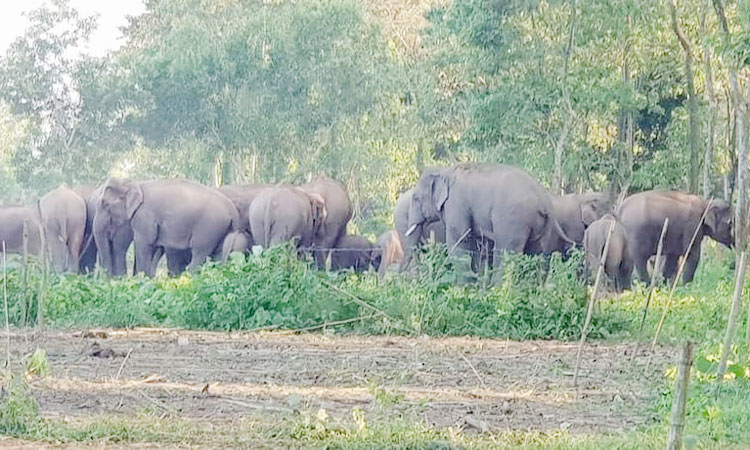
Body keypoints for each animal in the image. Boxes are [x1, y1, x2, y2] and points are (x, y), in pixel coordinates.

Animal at [95, 177, 239, 276]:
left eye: (105, 204)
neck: (135, 183)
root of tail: (232, 210)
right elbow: (155, 246)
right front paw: (148, 279)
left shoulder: (144, 216)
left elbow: (143, 243)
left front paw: (141, 279)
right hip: (223, 229)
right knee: (218, 255)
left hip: (209, 227)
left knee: (199, 253)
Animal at [406, 163, 576, 280]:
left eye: (416, 198)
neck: (444, 170)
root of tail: (544, 199)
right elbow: (477, 245)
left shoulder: (456, 204)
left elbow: (460, 239)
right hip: (544, 228)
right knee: (539, 255)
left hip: (512, 220)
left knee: (505, 251)